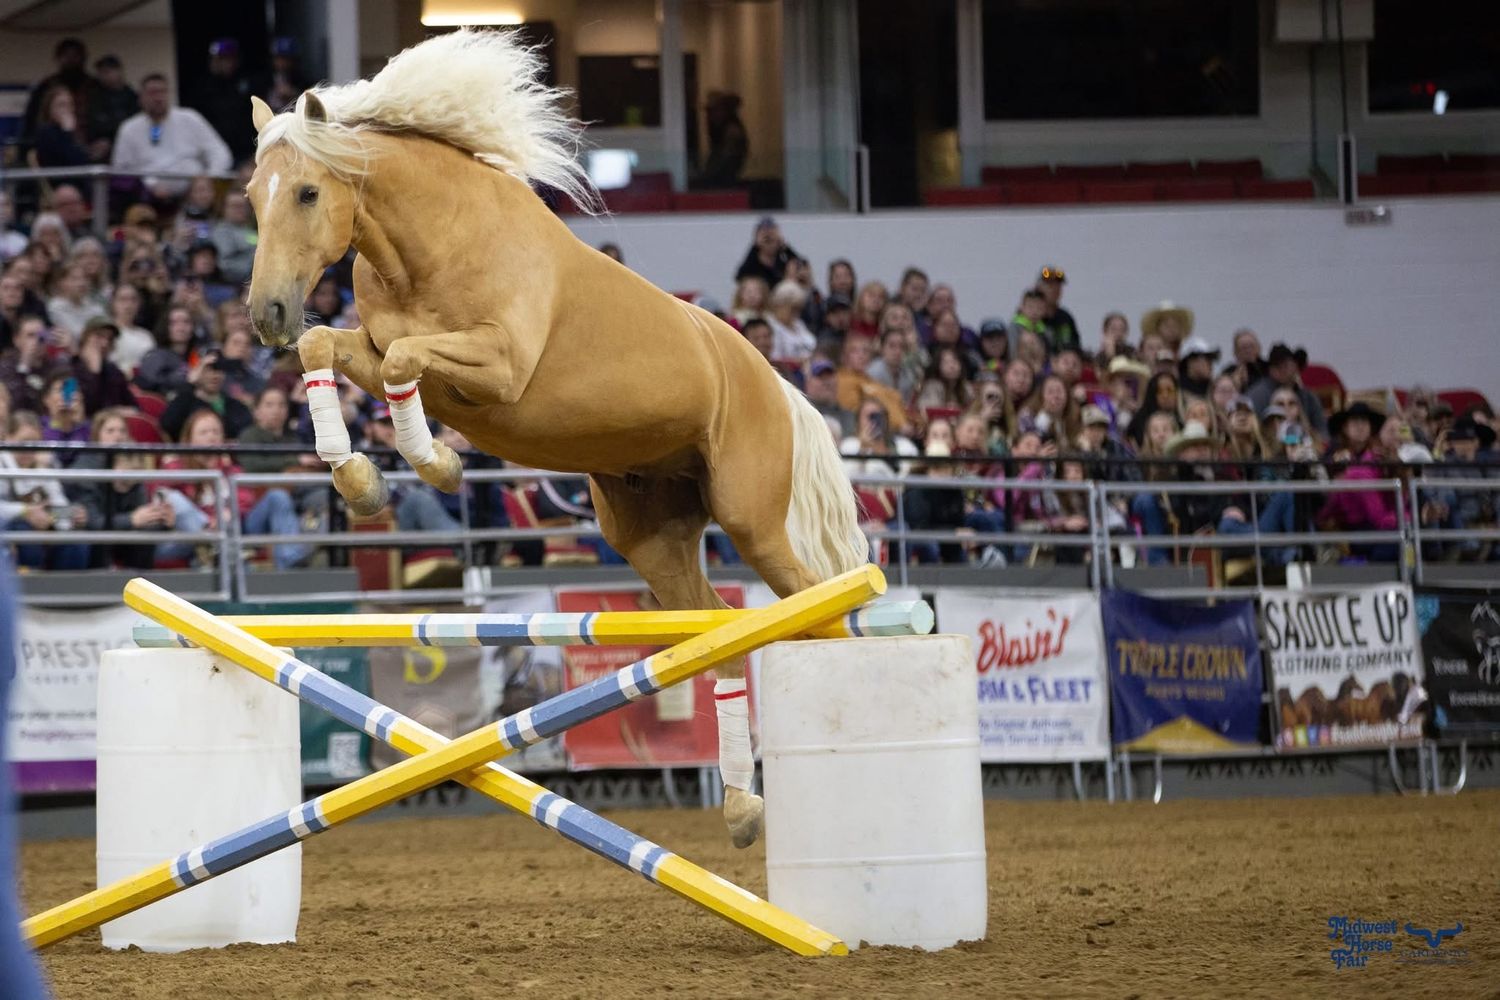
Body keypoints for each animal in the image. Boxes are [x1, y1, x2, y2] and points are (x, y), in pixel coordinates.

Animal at [242, 30, 868, 848]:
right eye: (253, 198)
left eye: (309, 192)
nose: (268, 315)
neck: (433, 243)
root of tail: (778, 384)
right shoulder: (380, 354)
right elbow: (334, 351)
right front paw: (364, 482)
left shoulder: (496, 368)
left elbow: (407, 362)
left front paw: (438, 465)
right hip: (654, 542)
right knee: (724, 635)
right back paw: (740, 807)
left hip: (753, 523)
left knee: (818, 616)